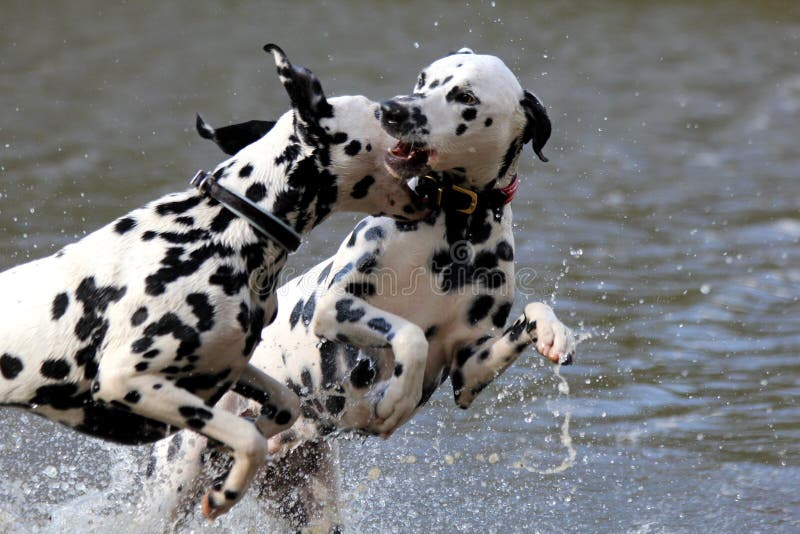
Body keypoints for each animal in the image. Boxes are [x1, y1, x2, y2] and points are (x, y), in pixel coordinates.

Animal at [0, 45, 428, 524]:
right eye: (379, 112)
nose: (405, 109)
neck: (226, 227)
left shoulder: (228, 368)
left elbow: (283, 406)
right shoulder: (127, 380)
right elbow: (249, 439)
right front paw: (227, 491)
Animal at [148, 47, 576, 532]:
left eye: (465, 96)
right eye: (424, 79)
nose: (392, 110)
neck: (455, 234)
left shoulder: (468, 370)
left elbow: (534, 311)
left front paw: (554, 334)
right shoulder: (335, 307)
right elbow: (410, 335)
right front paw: (397, 398)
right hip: (173, 489)